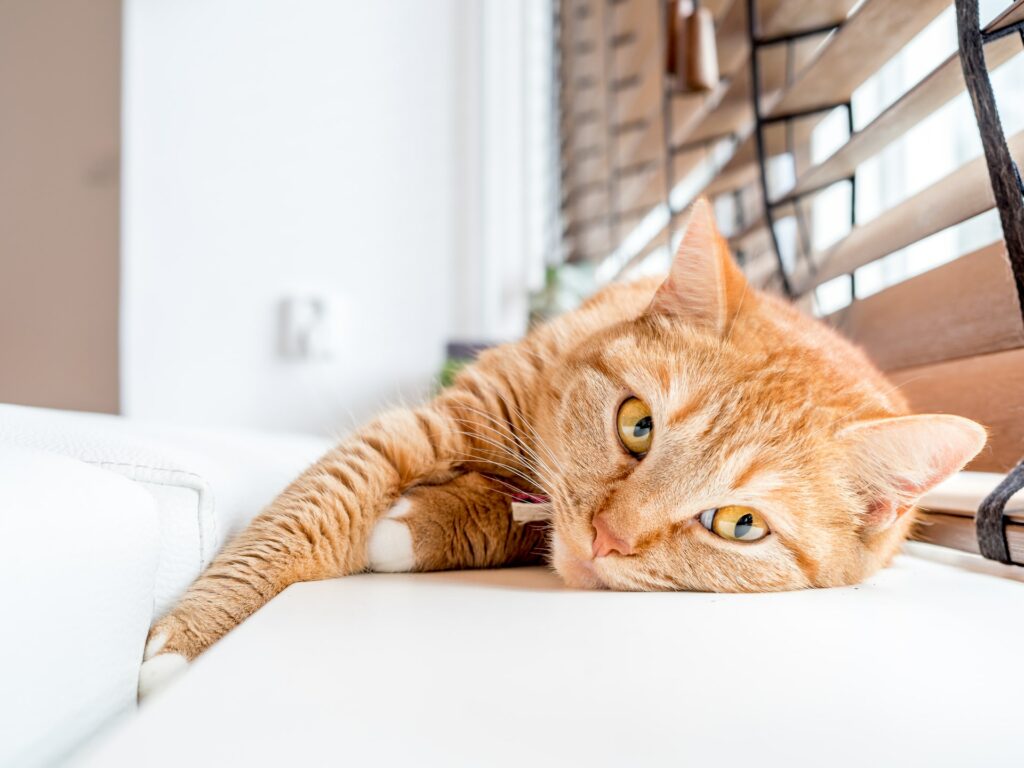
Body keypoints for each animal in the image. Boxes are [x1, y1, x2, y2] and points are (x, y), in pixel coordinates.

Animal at [140, 199, 987, 696]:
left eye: (740, 525)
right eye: (638, 424)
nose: (609, 537)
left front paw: (412, 530)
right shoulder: (422, 429)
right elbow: (303, 518)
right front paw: (184, 648)